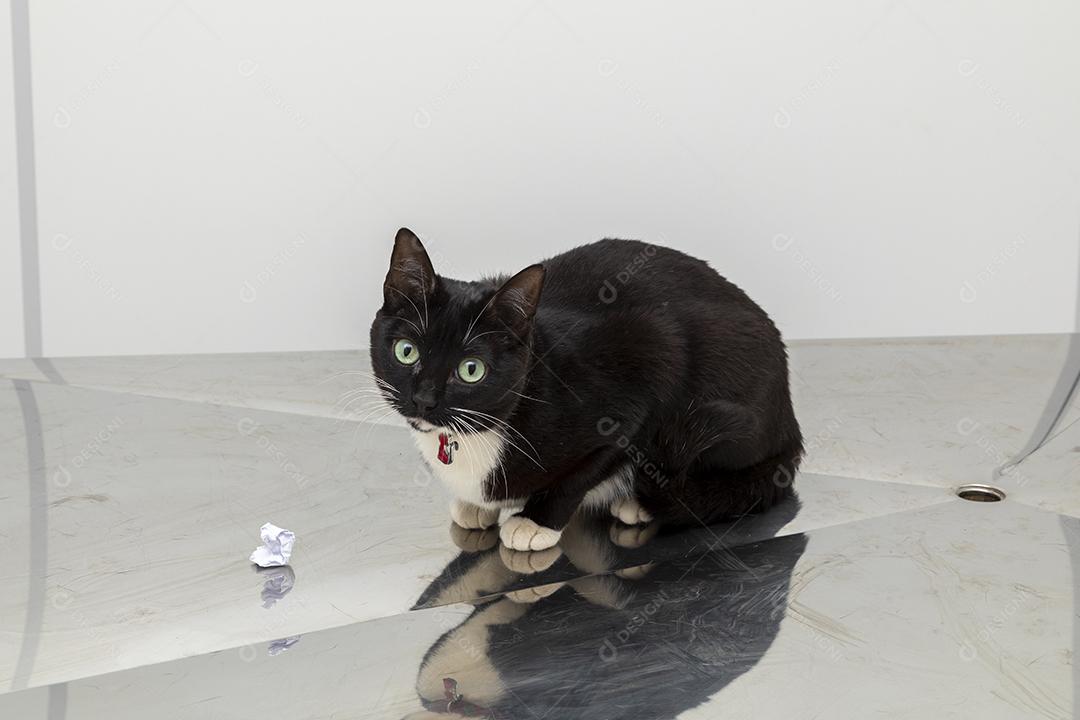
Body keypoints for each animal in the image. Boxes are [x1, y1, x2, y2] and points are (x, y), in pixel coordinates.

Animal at [371, 227, 803, 548]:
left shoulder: (650, 360)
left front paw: (535, 521)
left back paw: (637, 503)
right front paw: (478, 506)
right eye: (406, 351)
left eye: (470, 370)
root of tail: (789, 424)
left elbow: (581, 474)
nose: (424, 400)